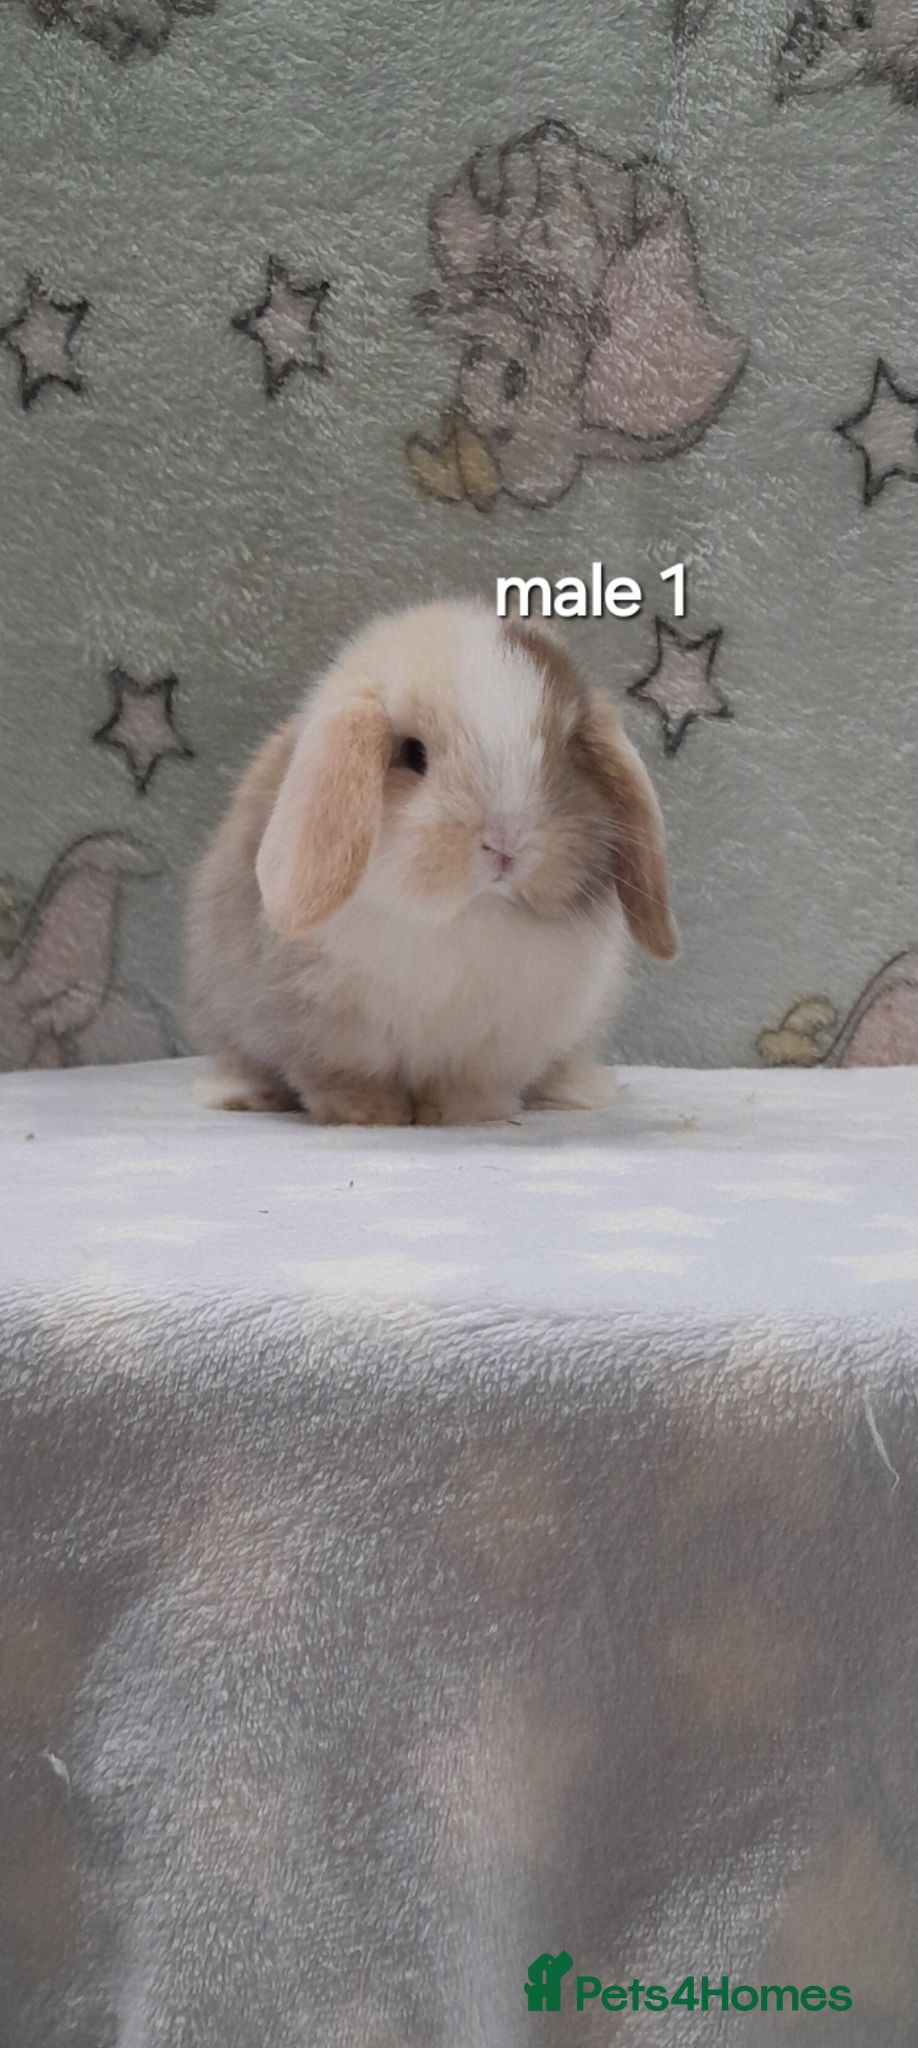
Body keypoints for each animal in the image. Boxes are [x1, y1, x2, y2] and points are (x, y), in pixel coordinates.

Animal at [185, 599, 677, 1125]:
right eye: (412, 753)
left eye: (567, 750)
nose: (506, 843)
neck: (458, 919)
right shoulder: (329, 1032)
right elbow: (347, 1078)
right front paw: (369, 1115)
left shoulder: (496, 1045)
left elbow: (469, 1084)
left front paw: (465, 1114)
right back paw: (239, 1094)